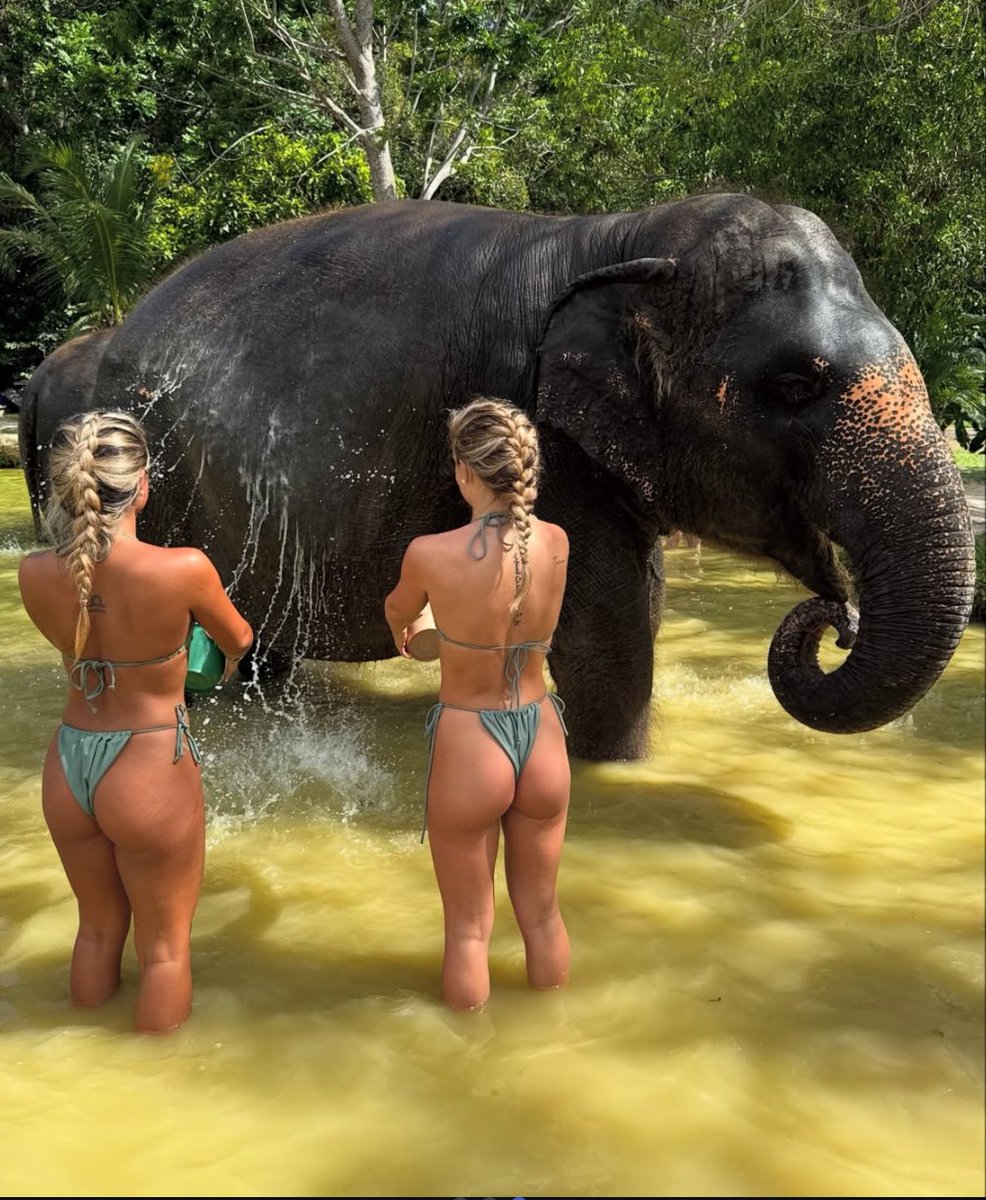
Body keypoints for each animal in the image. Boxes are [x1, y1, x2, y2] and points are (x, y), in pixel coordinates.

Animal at [22, 193, 975, 761]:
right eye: (795, 385)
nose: (839, 620)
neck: (621, 234)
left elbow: (637, 600)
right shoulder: (533, 421)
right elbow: (605, 621)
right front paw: (616, 768)